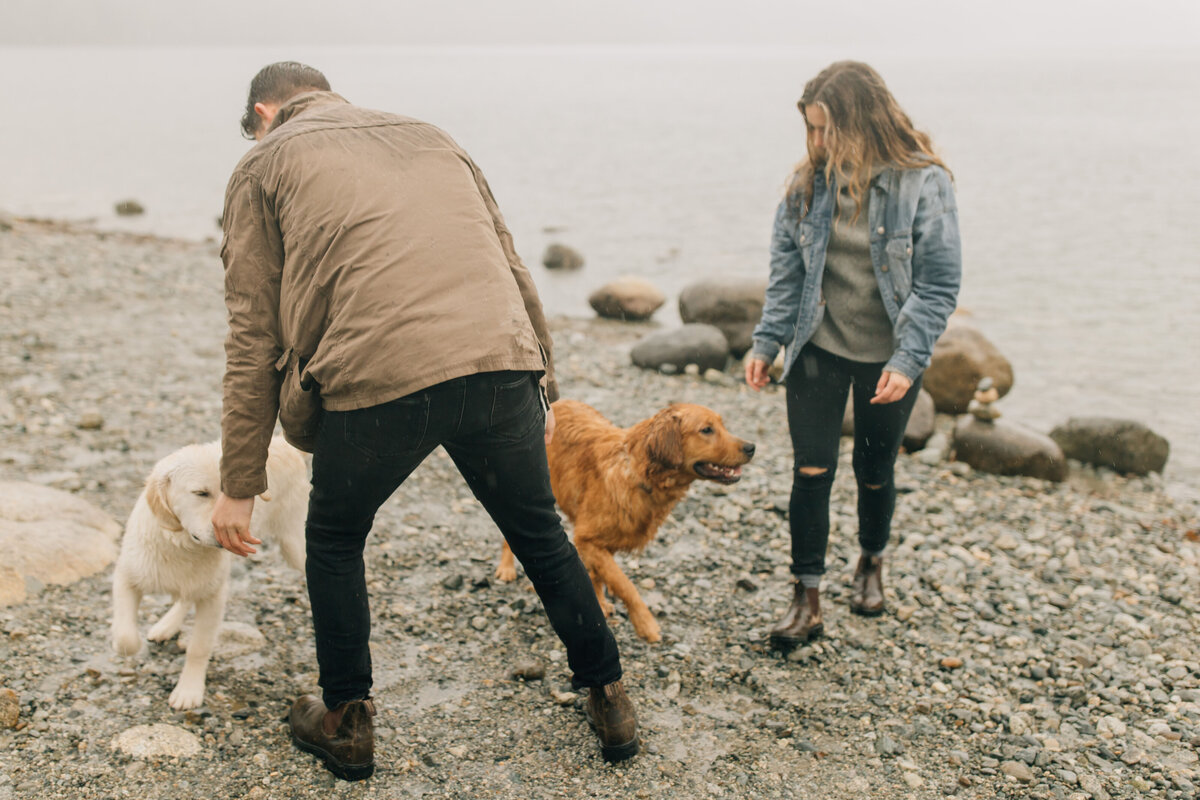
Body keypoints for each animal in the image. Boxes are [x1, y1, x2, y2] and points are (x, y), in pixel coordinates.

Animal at [111, 438, 309, 705]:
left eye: (232, 494)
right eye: (200, 493)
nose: (229, 532)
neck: (181, 544)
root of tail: (283, 442)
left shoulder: (213, 597)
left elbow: (199, 647)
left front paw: (188, 690)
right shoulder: (127, 575)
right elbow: (125, 635)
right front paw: (124, 646)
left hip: (294, 546)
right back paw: (166, 625)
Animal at [496, 400, 748, 642]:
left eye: (722, 425)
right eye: (706, 430)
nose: (751, 447)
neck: (638, 474)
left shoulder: (602, 542)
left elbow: (597, 575)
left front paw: (600, 602)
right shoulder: (588, 538)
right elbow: (625, 585)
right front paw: (646, 624)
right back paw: (506, 568)